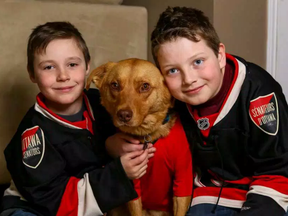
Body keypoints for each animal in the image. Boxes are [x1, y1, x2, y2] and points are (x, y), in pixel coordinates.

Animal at [85, 58, 194, 216]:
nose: (123, 115)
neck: (147, 135)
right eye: (115, 85)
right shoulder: (133, 184)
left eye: (145, 86)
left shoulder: (182, 178)